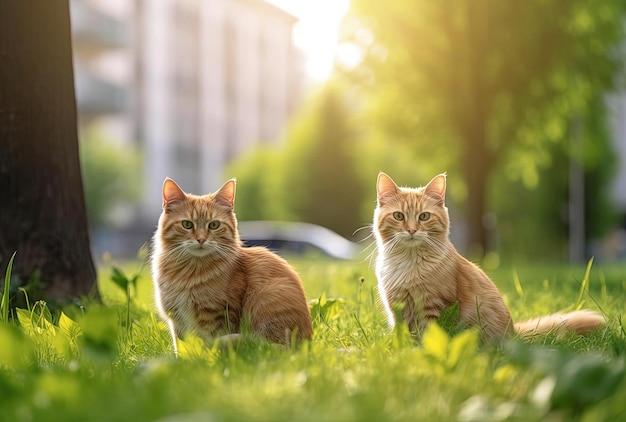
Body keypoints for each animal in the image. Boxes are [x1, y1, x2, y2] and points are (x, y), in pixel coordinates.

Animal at [149, 176, 310, 352]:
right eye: (187, 224)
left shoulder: (218, 314)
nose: (201, 239)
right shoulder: (177, 320)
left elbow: (210, 343)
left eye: (214, 225)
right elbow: (183, 348)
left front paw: (210, 355)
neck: (188, 271)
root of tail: (306, 344)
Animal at [372, 171, 604, 340]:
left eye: (424, 216)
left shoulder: (434, 306)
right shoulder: (397, 310)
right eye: (399, 216)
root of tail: (513, 333)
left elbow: (429, 337)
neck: (408, 265)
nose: (411, 230)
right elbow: (404, 337)